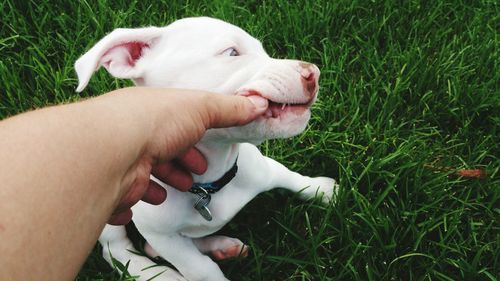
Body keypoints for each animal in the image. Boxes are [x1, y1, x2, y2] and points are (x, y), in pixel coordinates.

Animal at [75, 17, 340, 280]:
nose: (313, 73)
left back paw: (220, 247)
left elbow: (292, 178)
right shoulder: (165, 238)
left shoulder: (264, 169)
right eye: (232, 52)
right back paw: (162, 274)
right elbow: (201, 269)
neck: (210, 181)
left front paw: (324, 190)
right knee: (118, 250)